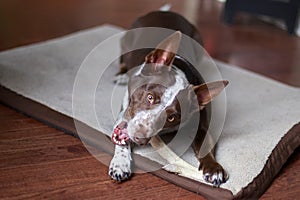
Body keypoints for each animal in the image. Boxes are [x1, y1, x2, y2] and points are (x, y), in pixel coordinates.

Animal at [109, 10, 229, 187]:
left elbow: (205, 146)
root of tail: (164, 11)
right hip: (126, 43)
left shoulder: (202, 126)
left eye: (171, 117)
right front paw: (120, 163)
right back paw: (122, 75)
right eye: (150, 97)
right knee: (123, 61)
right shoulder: (125, 113)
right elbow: (122, 139)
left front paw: (214, 169)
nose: (140, 137)